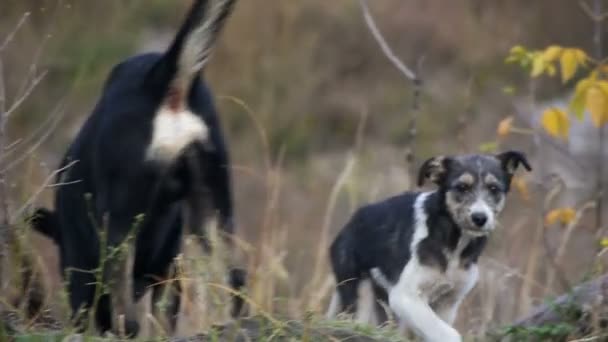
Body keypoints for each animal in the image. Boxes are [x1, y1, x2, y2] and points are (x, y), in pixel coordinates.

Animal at [326, 152, 528, 342]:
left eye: (494, 188)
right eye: (462, 187)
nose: (480, 218)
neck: (453, 242)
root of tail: (348, 225)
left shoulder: (449, 301)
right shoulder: (405, 296)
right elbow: (446, 333)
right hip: (360, 294)